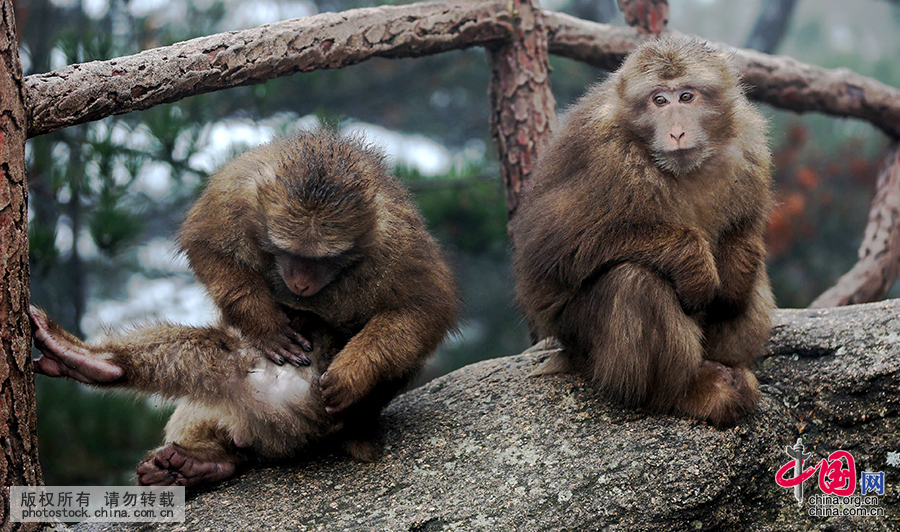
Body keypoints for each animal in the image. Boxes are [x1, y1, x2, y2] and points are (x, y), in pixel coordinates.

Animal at [32, 130, 460, 486]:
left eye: (323, 259)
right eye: (288, 252)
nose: (301, 283)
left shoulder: (397, 242)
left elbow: (422, 310)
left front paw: (352, 374)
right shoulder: (235, 194)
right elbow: (207, 247)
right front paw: (267, 325)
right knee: (218, 355)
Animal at [512, 37, 772, 428]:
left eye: (685, 97)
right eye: (658, 100)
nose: (676, 131)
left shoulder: (749, 146)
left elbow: (745, 229)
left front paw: (735, 268)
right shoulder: (604, 154)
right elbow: (552, 248)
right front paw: (694, 263)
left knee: (749, 278)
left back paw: (726, 368)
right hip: (577, 336)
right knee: (635, 282)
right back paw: (686, 392)